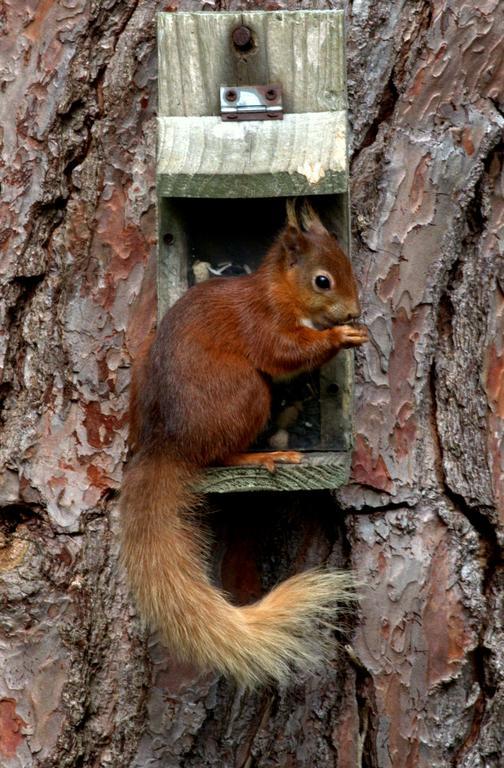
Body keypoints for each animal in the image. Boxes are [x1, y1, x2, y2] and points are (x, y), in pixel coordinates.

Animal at [120, 201, 368, 688]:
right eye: (322, 280)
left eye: (350, 268)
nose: (352, 312)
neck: (279, 291)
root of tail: (166, 441)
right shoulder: (263, 322)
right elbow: (286, 354)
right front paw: (338, 338)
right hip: (246, 392)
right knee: (221, 454)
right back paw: (264, 454)